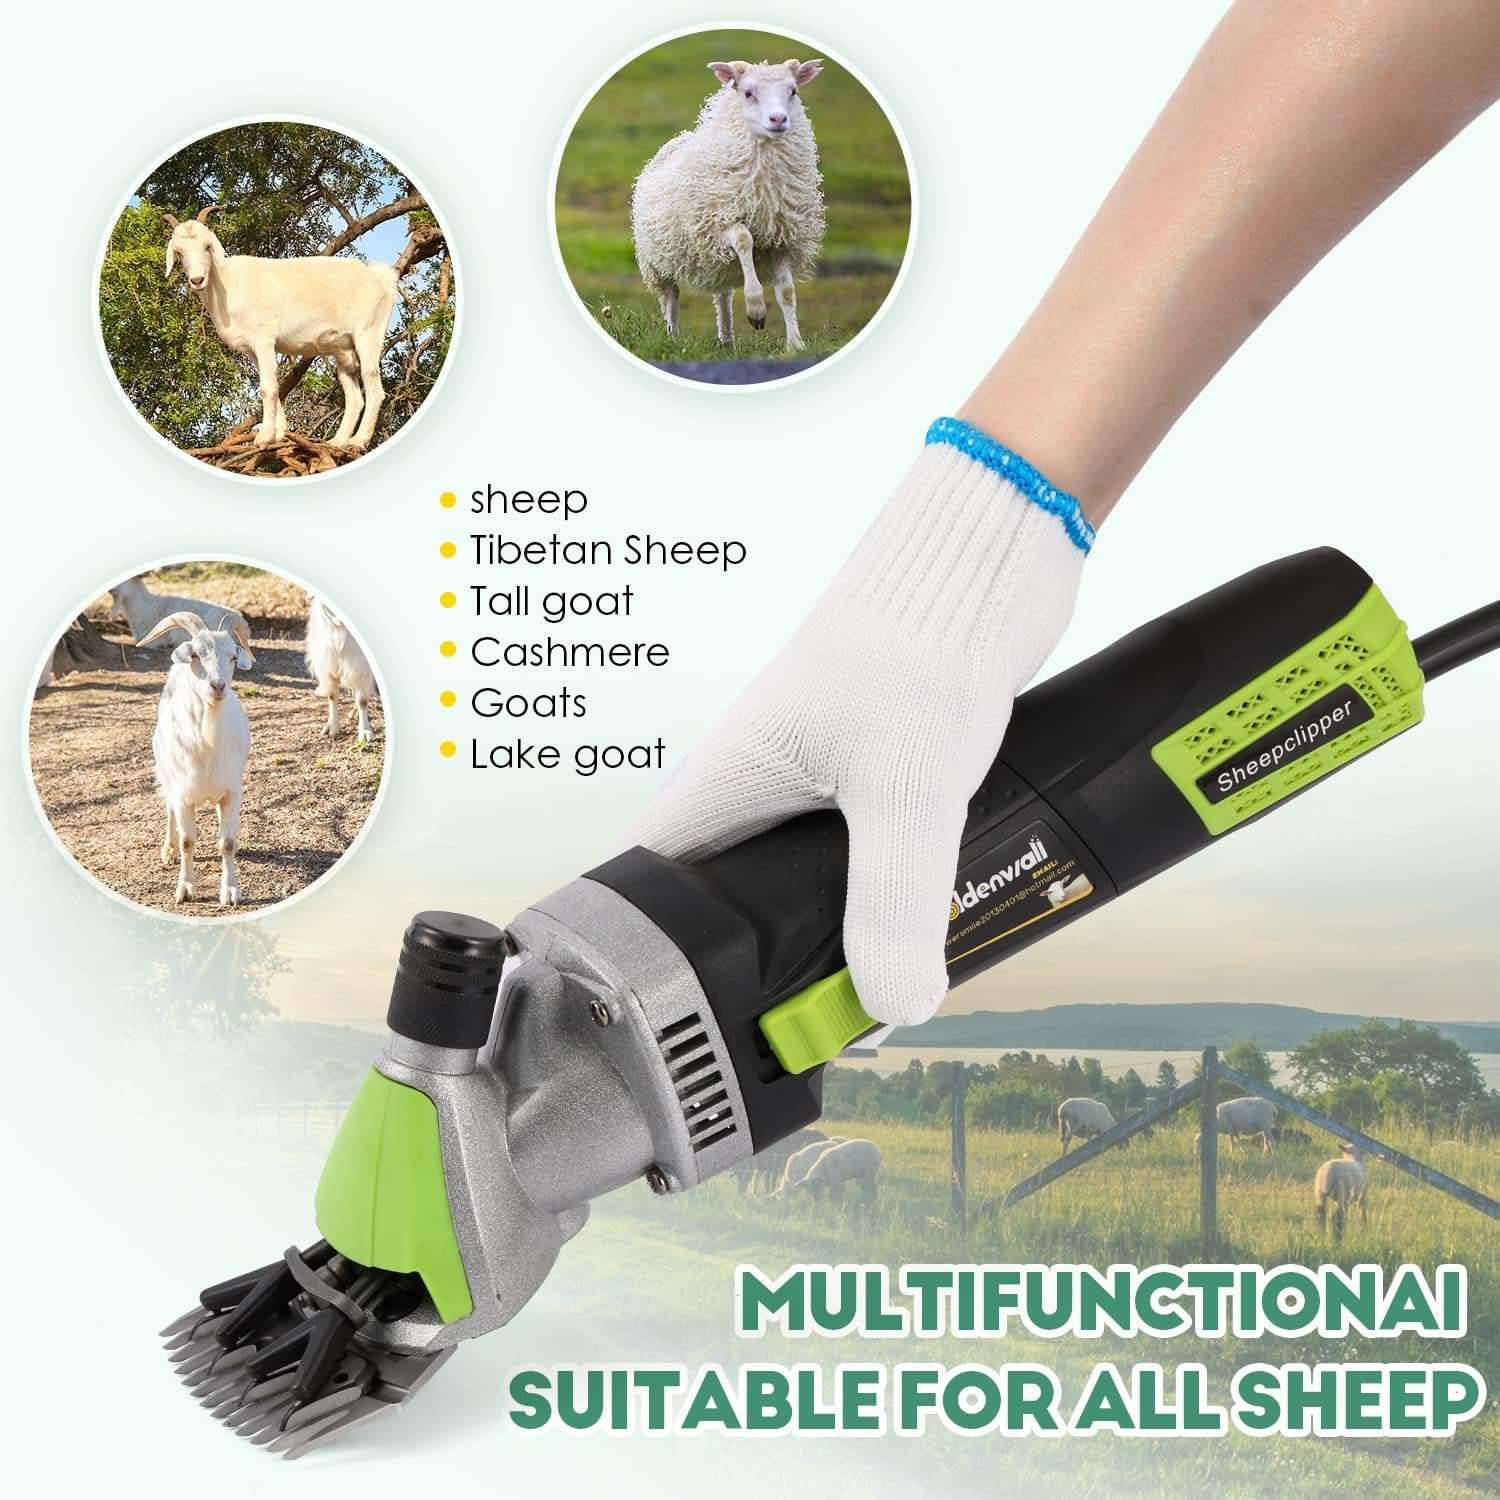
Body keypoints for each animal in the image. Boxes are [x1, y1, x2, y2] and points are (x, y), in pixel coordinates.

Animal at [138, 611, 254, 906]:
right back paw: (168, 850)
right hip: (166, 772)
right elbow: (187, 841)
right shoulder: (182, 793)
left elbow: (227, 842)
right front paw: (185, 889)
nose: (218, 685)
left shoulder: (232, 791)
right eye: (195, 655)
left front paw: (231, 891)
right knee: (169, 809)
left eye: (233, 657)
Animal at [162, 205, 400, 451]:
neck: (227, 284)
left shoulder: (264, 339)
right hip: (343, 350)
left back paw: (358, 441)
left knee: (374, 389)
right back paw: (337, 441)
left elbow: (267, 388)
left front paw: (264, 436)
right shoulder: (253, 350)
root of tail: (381, 279)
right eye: (179, 253)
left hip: (368, 334)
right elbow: (273, 387)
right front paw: (280, 435)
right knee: (354, 397)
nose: (197, 280)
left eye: (207, 247)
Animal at [305, 596, 378, 743]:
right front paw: (331, 727)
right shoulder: (328, 666)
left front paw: (365, 731)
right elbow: (332, 695)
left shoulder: (362, 667)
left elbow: (362, 700)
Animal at [631, 59, 826, 352]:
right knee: (671, 296)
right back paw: (673, 338)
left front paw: (795, 345)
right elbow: (744, 239)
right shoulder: (716, 224)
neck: (764, 194)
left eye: (793, 91)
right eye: (748, 93)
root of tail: (678, 139)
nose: (778, 119)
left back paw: (727, 341)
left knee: (722, 297)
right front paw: (756, 309)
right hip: (657, 262)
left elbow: (787, 293)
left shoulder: (782, 239)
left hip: (719, 262)